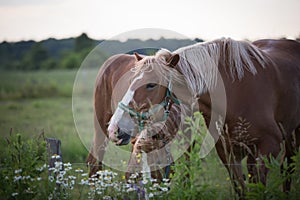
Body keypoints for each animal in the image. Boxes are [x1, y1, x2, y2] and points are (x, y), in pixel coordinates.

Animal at [108, 37, 300, 195]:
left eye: (151, 85)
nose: (114, 129)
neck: (237, 94)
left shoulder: (268, 147)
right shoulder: (229, 154)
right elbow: (242, 189)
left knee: (288, 167)